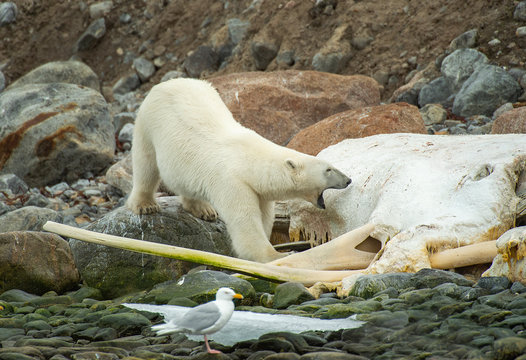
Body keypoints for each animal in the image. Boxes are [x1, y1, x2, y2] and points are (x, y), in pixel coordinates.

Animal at [126, 78, 352, 262]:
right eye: (329, 169)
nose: (348, 179)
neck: (249, 160)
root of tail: (166, 82)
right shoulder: (231, 183)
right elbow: (245, 222)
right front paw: (278, 255)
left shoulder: (259, 192)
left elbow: (264, 218)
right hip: (148, 123)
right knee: (145, 164)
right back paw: (146, 205)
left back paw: (204, 209)